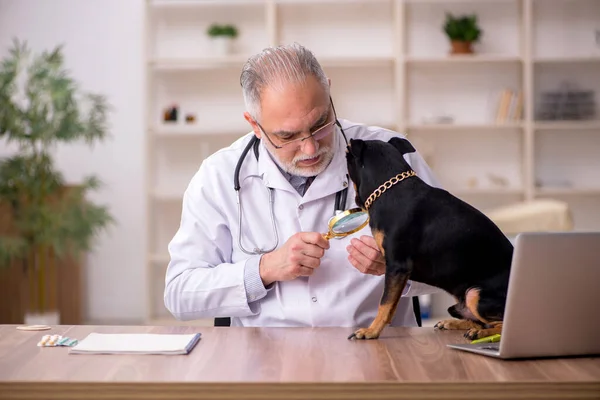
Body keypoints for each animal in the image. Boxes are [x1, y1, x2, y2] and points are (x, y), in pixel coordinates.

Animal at [344, 138, 512, 340]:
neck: (390, 190)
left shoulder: (397, 267)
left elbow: (385, 304)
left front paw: (371, 331)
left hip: (475, 295)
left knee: (501, 324)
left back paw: (479, 333)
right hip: (460, 297)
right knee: (479, 319)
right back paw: (454, 323)